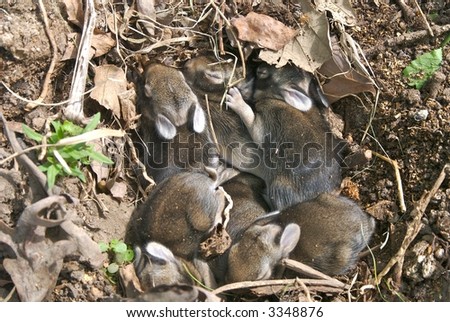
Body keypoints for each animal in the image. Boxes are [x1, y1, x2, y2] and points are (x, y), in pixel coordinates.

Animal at [227, 62, 342, 211]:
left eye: (262, 73)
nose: (258, 65)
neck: (279, 99)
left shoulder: (266, 119)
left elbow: (249, 117)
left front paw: (235, 99)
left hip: (279, 186)